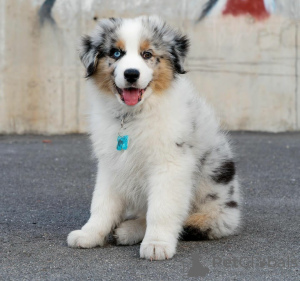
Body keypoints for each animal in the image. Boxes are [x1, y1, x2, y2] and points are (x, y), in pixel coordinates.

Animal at [68, 15, 241, 260]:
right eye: (116, 53)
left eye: (147, 54)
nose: (131, 74)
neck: (133, 115)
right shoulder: (111, 164)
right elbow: (102, 203)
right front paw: (90, 234)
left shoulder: (169, 164)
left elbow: (161, 209)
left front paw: (157, 244)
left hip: (214, 204)